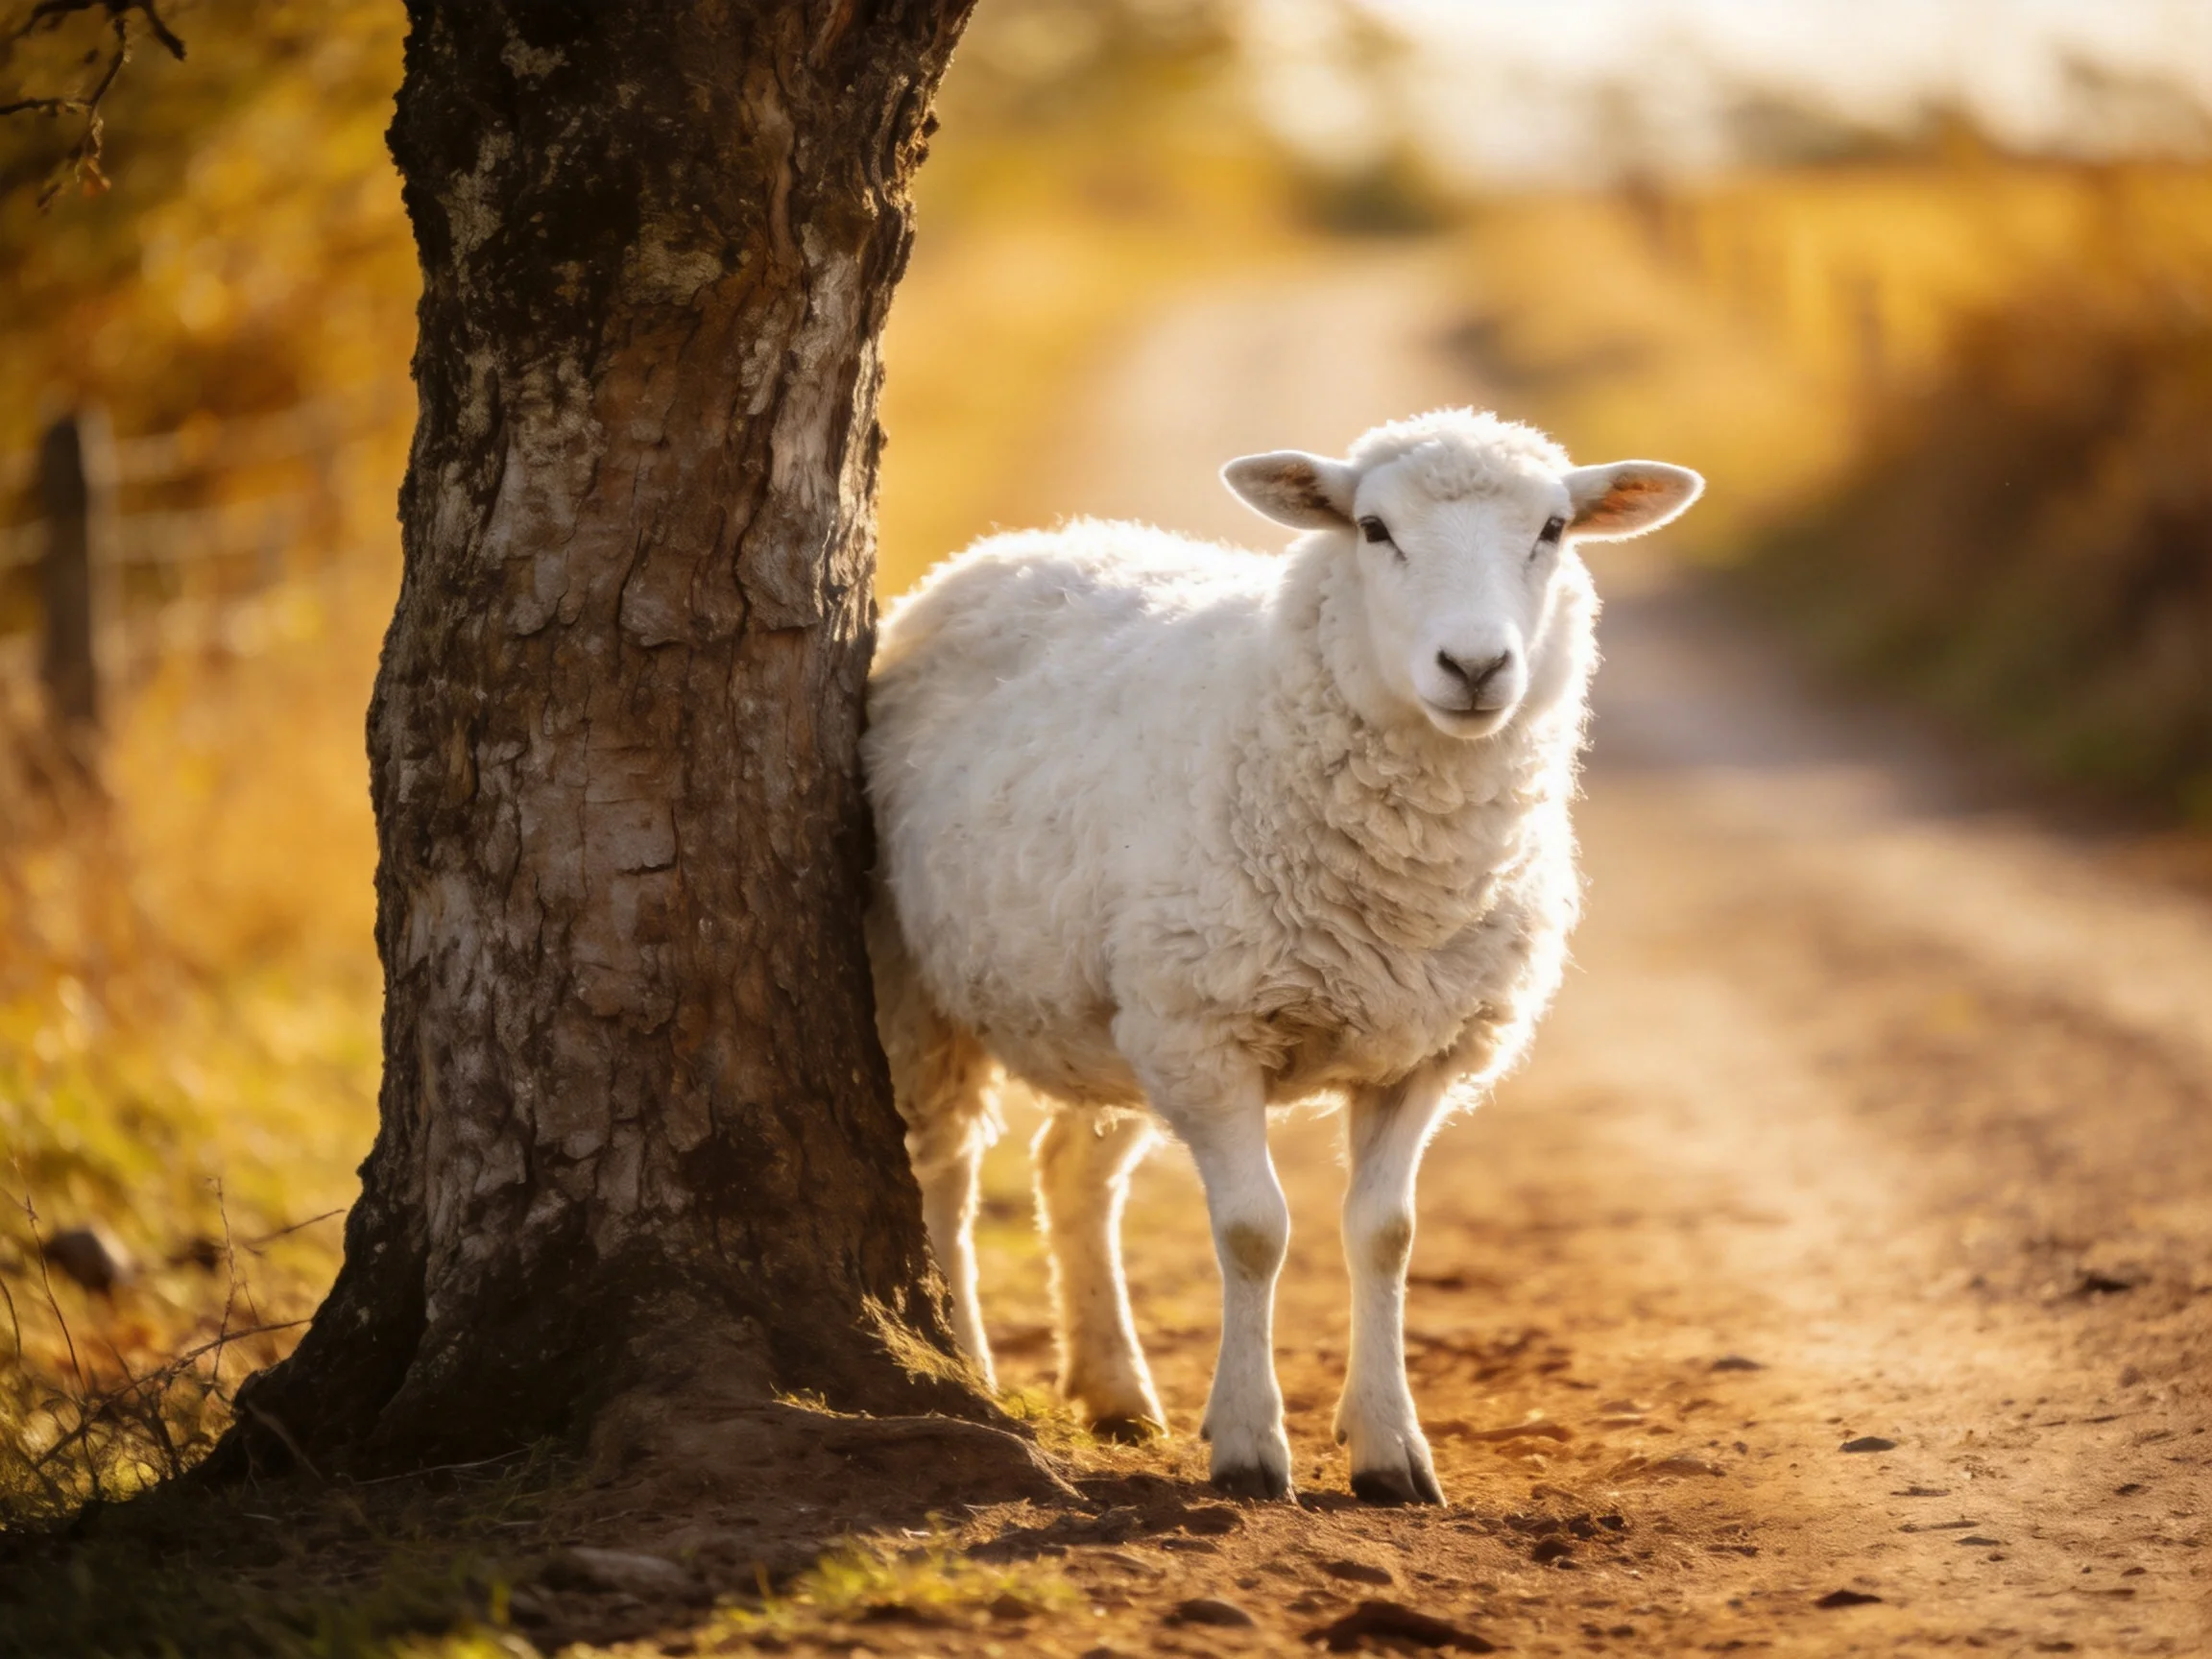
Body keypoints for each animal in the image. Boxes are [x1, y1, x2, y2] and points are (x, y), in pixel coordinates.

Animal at [864, 407, 1702, 1503]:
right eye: (1374, 528)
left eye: (1554, 528)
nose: (1476, 667)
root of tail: (1015, 546)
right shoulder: (1210, 1035)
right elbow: (1255, 1232)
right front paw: (1250, 1445)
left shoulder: (1423, 1050)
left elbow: (1386, 1234)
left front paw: (1391, 1448)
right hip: (929, 985)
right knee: (946, 1172)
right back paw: (965, 1360)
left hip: (1115, 1011)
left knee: (1072, 1175)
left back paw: (1116, 1388)